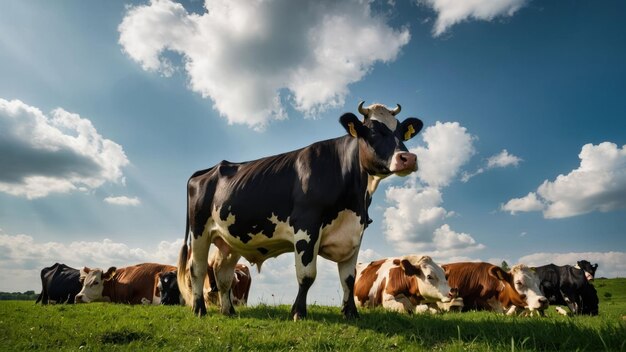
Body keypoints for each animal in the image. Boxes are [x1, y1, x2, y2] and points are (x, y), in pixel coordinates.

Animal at [176, 101, 422, 320]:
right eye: (372, 130)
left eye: (401, 131)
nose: (408, 158)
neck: (354, 199)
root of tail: (208, 170)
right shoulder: (307, 226)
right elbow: (307, 276)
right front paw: (298, 312)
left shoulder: (355, 232)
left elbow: (349, 279)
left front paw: (351, 313)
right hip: (200, 231)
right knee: (197, 268)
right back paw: (199, 309)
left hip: (229, 239)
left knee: (222, 273)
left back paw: (228, 311)